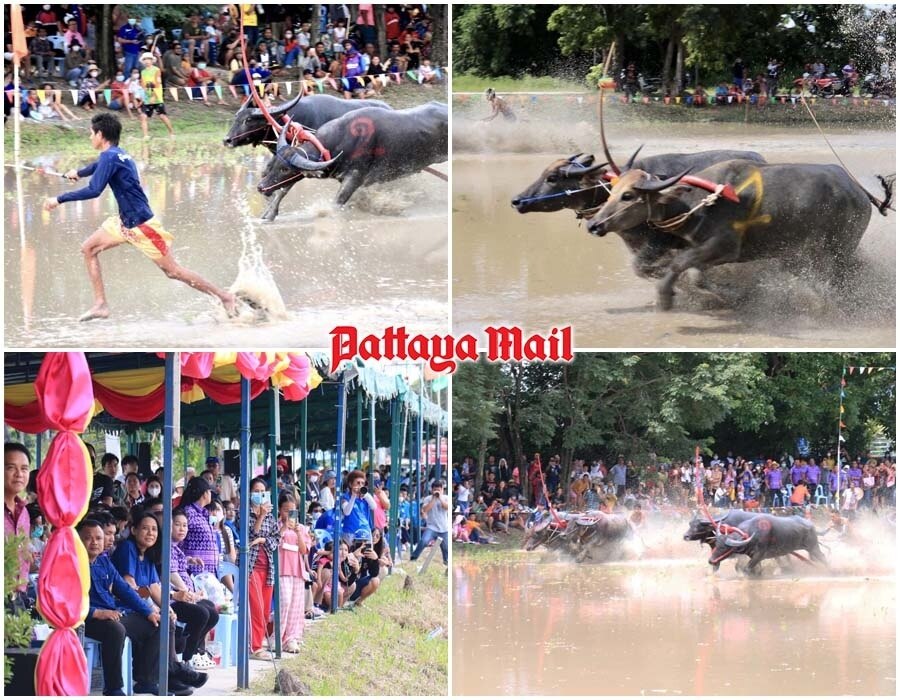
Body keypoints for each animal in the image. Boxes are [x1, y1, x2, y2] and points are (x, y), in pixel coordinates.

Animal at [256, 100, 446, 211]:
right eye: (274, 164)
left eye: (285, 169)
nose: (260, 187)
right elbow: (285, 189)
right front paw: (270, 213)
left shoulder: (354, 178)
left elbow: (336, 202)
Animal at [584, 163, 892, 310]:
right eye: (612, 191)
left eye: (628, 196)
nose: (594, 225)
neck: (697, 202)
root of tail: (859, 191)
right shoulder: (684, 244)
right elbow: (687, 272)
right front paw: (723, 296)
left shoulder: (725, 247)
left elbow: (681, 266)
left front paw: (666, 297)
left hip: (838, 247)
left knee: (839, 277)